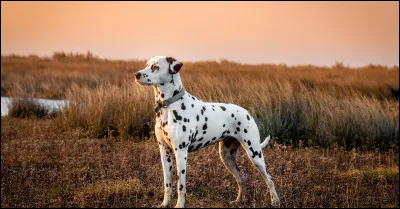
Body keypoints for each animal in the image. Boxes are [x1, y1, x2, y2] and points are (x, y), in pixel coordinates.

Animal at [134, 56, 278, 208]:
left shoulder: (181, 152)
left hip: (255, 154)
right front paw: (164, 204)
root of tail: (247, 112)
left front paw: (179, 205)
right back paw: (238, 201)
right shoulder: (164, 151)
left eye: (155, 67)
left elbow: (181, 186)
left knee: (270, 179)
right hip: (227, 157)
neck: (168, 106)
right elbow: (167, 184)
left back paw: (275, 201)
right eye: (146, 65)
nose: (137, 74)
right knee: (242, 179)